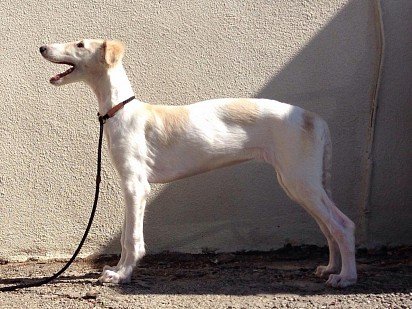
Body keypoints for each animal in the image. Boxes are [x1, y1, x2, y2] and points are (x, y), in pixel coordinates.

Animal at [39, 39, 358, 288]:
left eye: (80, 44)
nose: (42, 48)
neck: (122, 111)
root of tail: (315, 118)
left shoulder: (136, 186)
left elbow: (131, 237)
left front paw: (123, 276)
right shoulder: (131, 187)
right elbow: (126, 236)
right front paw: (117, 271)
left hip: (300, 181)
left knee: (343, 225)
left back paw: (346, 277)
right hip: (300, 184)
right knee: (329, 228)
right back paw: (331, 268)